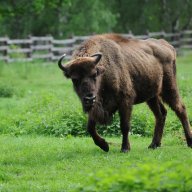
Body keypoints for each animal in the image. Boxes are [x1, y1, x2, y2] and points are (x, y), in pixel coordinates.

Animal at [58, 33, 192, 152]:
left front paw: (125, 148)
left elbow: (125, 125)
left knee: (180, 109)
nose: (89, 98)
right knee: (161, 114)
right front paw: (104, 146)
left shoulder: (125, 101)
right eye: (74, 79)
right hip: (152, 96)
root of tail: (167, 45)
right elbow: (90, 127)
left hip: (169, 88)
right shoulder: (96, 106)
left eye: (94, 74)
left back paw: (189, 142)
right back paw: (154, 144)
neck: (104, 71)